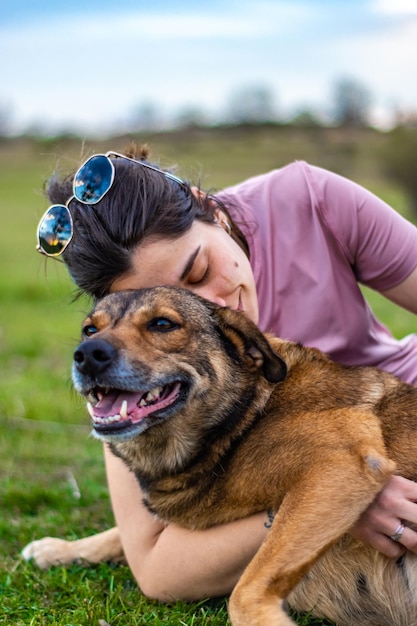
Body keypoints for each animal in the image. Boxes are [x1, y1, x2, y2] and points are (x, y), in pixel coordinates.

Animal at [23, 286, 417, 620]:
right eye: (90, 329)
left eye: (162, 324)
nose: (87, 355)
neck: (243, 419)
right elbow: (116, 535)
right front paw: (59, 549)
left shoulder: (341, 459)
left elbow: (246, 592)